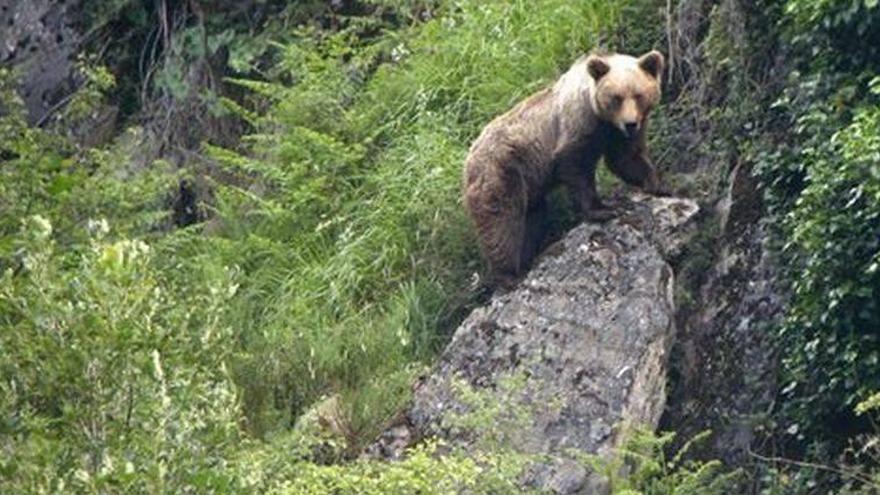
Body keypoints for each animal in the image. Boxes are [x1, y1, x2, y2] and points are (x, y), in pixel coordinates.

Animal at [464, 50, 664, 286]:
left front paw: (655, 183)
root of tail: (469, 157)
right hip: (502, 170)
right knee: (502, 221)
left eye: (639, 95)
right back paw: (509, 275)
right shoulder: (576, 126)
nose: (630, 123)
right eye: (617, 97)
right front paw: (603, 210)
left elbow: (626, 157)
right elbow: (576, 168)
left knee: (533, 219)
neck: (600, 117)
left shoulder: (615, 134)